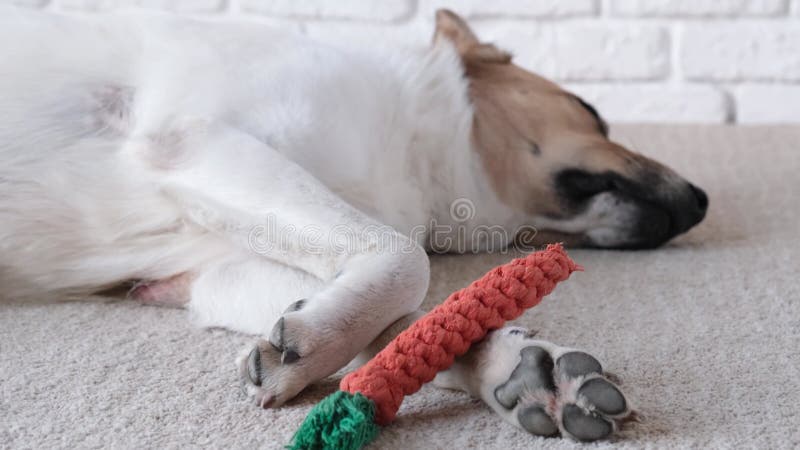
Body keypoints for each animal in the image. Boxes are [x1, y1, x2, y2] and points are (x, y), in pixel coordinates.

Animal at [0, 7, 704, 442]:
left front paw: (517, 367)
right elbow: (406, 267)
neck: (416, 154)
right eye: (589, 109)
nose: (701, 202)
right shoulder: (194, 142)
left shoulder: (213, 272)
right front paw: (316, 345)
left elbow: (415, 320)